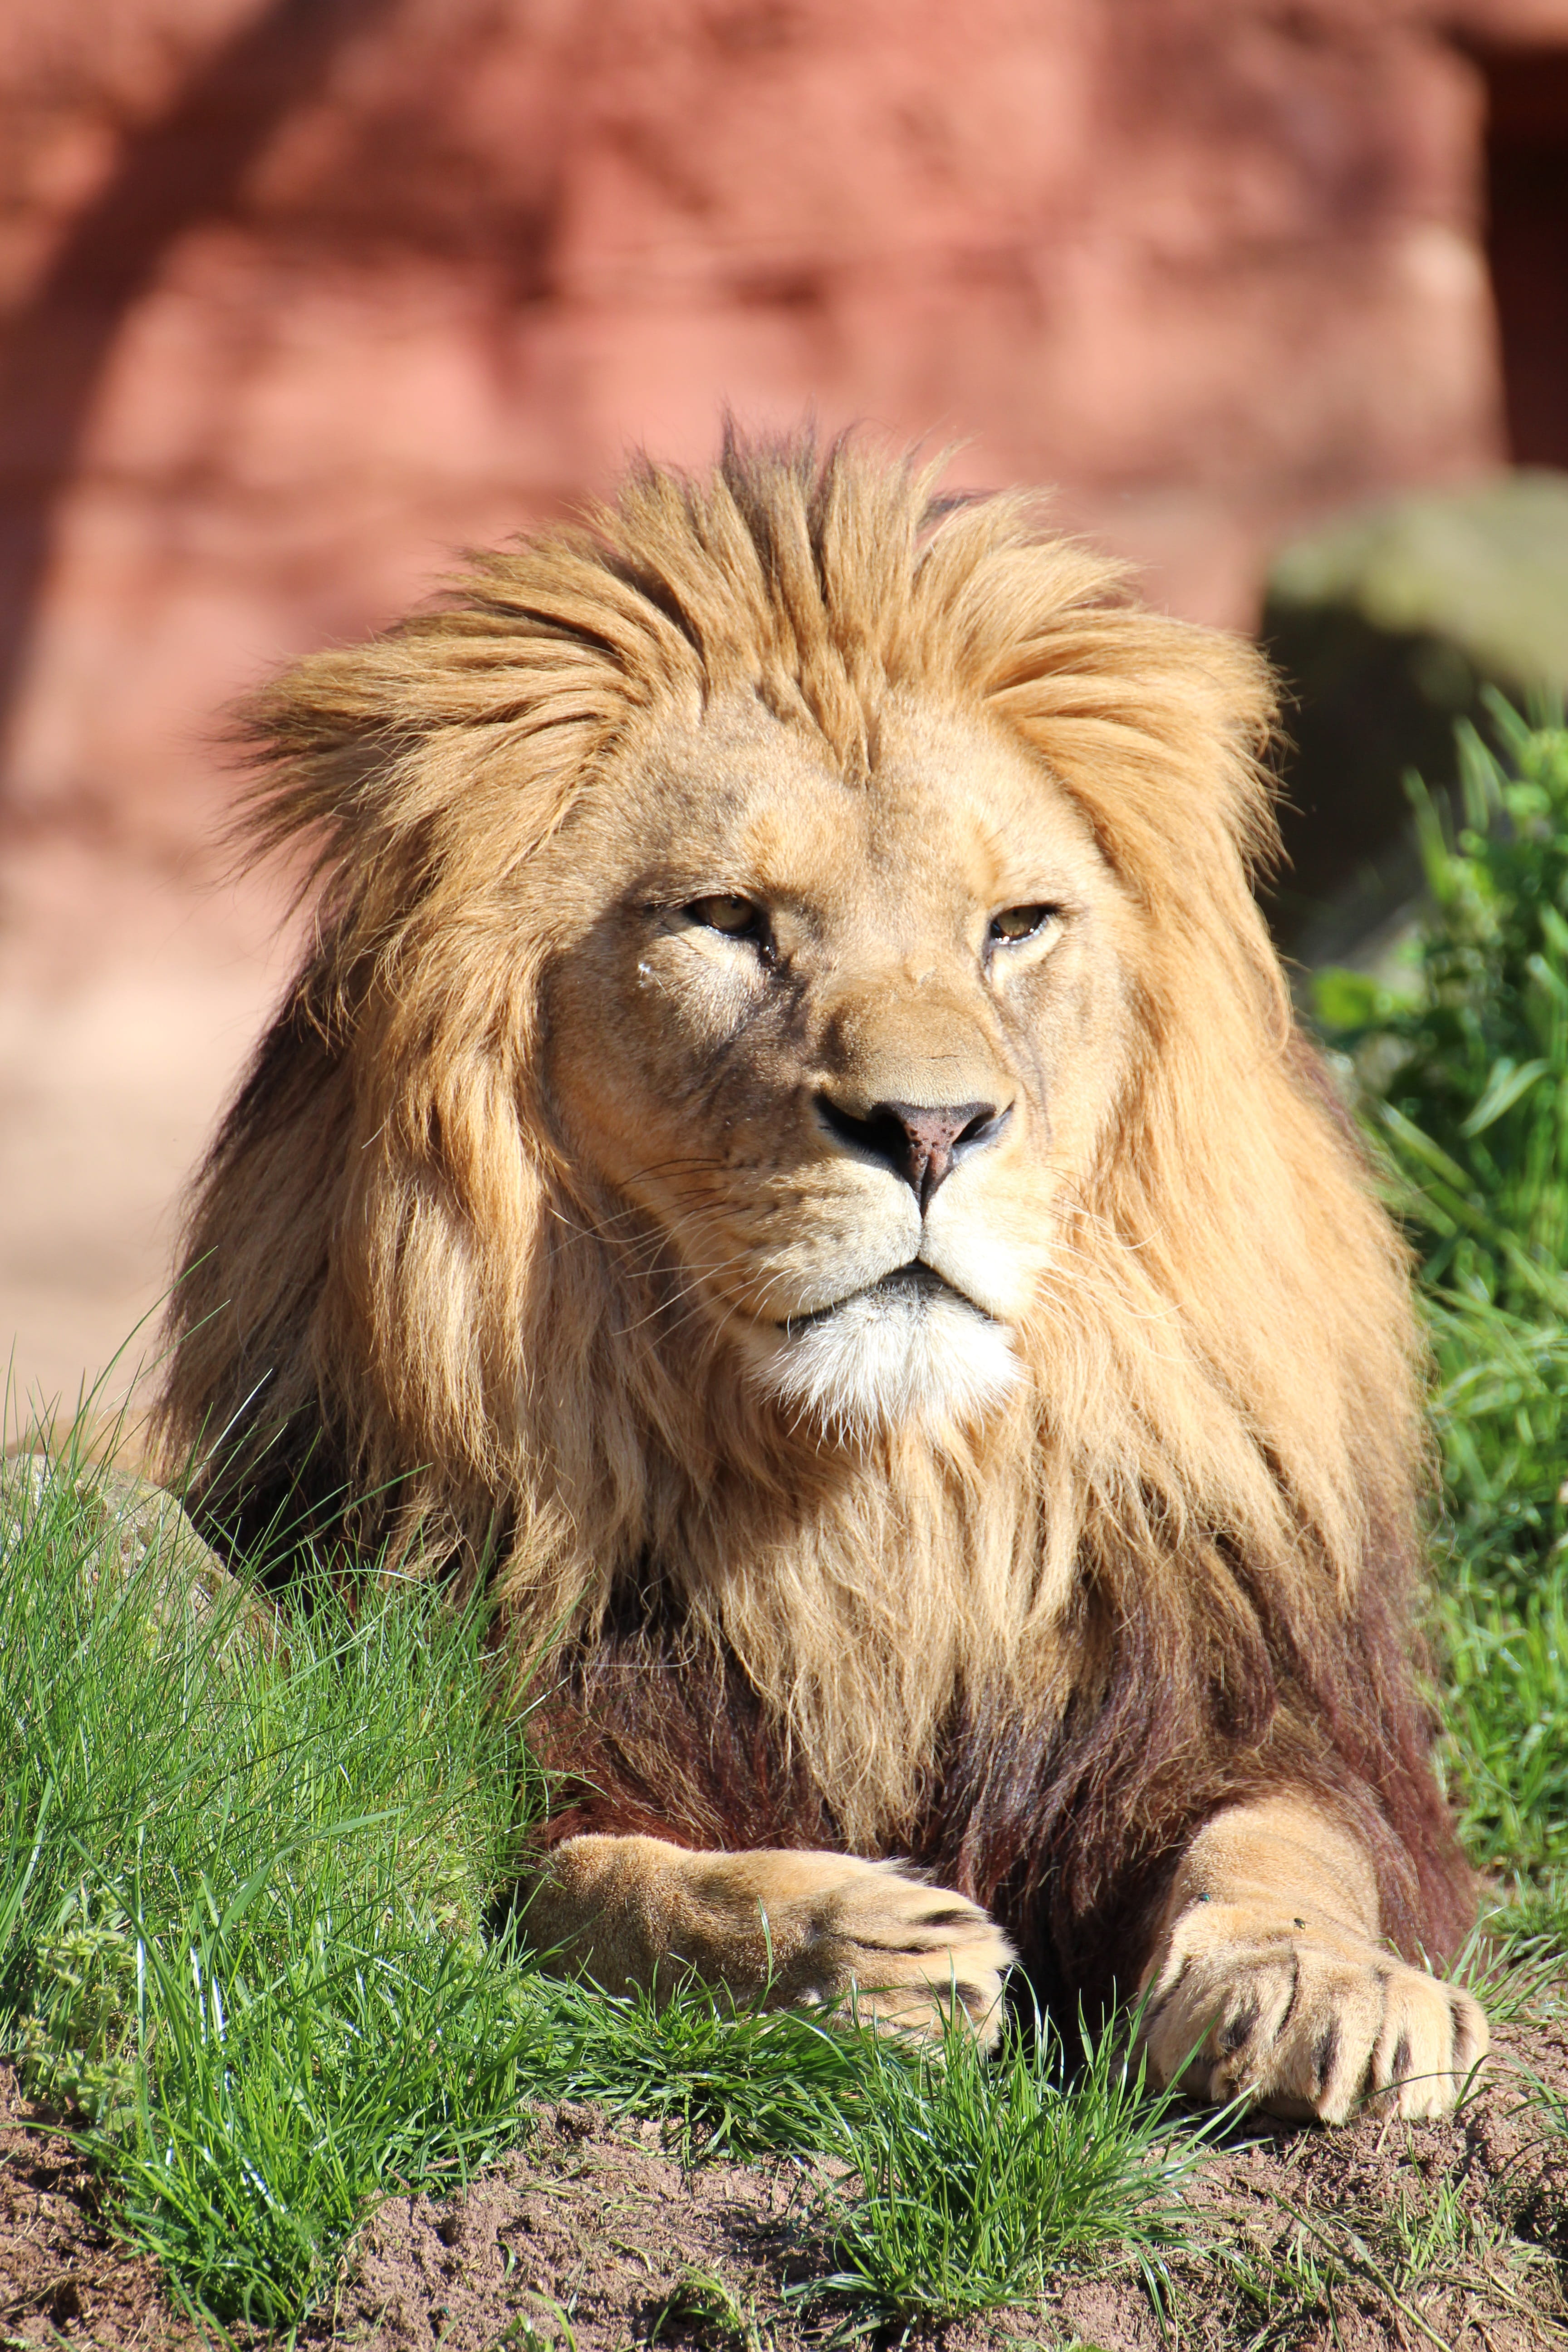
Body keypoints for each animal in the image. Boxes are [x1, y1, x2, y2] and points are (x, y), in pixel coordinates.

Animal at [162, 428, 1487, 2122]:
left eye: (1014, 927)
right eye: (727, 921)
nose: (928, 1129)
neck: (881, 1520)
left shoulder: (1231, 1696)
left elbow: (1289, 1839)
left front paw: (1320, 1985)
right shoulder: (487, 1740)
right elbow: (596, 1877)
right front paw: (841, 1944)